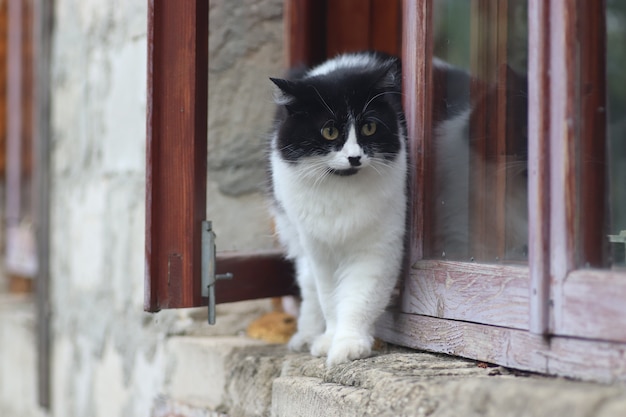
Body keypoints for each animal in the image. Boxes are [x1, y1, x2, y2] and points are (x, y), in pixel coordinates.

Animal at [266, 51, 404, 364]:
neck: (341, 188)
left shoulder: (377, 245)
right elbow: (328, 297)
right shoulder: (319, 248)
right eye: (329, 131)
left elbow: (359, 297)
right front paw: (328, 340)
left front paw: (348, 345)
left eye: (369, 127)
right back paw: (306, 336)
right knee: (308, 285)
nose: (354, 157)